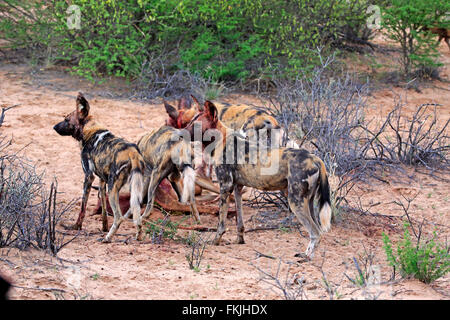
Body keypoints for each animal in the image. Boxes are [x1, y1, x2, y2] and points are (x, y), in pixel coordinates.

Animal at [53, 92, 145, 242]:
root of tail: (132, 152)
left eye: (66, 120)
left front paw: (76, 227)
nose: (54, 127)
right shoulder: (102, 180)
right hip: (134, 188)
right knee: (137, 214)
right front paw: (104, 228)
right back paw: (138, 236)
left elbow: (83, 208)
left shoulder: (88, 176)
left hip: (113, 189)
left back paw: (107, 238)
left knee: (119, 217)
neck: (89, 131)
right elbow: (103, 211)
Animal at [182, 100, 330, 260]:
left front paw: (216, 241)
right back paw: (307, 254)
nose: (180, 133)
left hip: (295, 201)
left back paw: (307, 258)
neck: (221, 139)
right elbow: (239, 221)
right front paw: (239, 240)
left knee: (316, 232)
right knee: (318, 230)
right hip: (308, 202)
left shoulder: (225, 186)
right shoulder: (237, 188)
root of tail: (315, 159)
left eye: (194, 124)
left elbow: (221, 223)